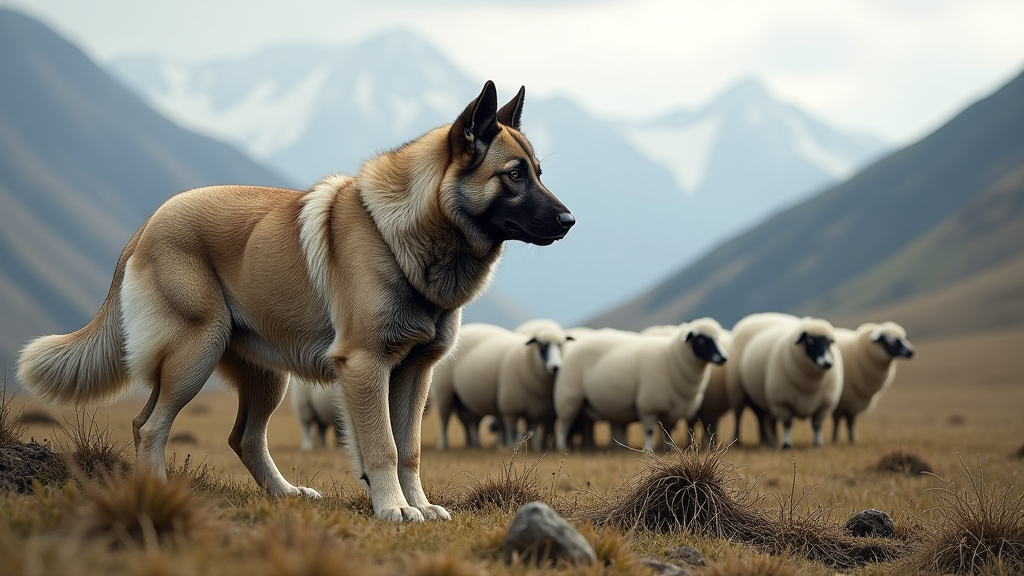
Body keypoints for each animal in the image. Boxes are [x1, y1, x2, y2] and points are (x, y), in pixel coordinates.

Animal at [16, 81, 573, 520]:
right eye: (514, 174)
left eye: (539, 172)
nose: (570, 221)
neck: (404, 233)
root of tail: (147, 225)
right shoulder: (365, 366)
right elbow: (384, 447)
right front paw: (394, 508)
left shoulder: (415, 374)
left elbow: (410, 448)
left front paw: (417, 504)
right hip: (194, 354)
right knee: (149, 425)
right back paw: (155, 490)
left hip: (266, 377)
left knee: (242, 437)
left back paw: (285, 494)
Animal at [552, 315, 729, 450]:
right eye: (701, 340)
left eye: (718, 339)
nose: (723, 358)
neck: (672, 360)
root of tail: (577, 344)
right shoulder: (648, 405)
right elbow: (649, 430)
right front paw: (649, 450)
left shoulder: (672, 411)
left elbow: (668, 432)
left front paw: (670, 450)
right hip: (569, 396)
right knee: (564, 425)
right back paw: (562, 448)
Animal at [733, 311, 843, 446]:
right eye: (810, 341)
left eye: (829, 342)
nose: (827, 363)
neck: (809, 385)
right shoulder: (781, 401)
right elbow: (787, 423)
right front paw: (786, 444)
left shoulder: (824, 405)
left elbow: (816, 425)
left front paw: (818, 444)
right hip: (741, 392)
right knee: (745, 416)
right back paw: (745, 441)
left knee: (766, 419)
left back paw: (770, 441)